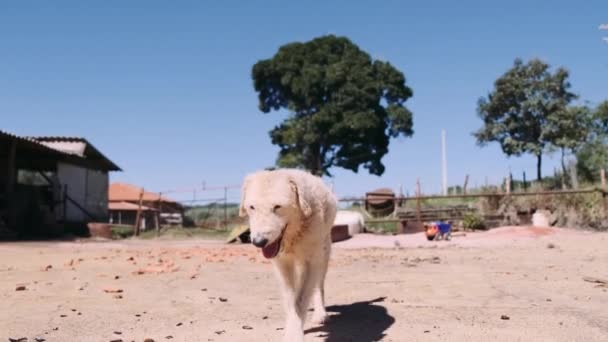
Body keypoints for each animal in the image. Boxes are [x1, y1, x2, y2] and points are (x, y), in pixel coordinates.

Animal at [240, 169, 340, 342]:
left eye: (277, 207)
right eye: (252, 207)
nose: (258, 242)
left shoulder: (311, 261)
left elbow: (300, 299)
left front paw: (294, 334)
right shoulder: (281, 264)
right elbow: (290, 298)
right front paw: (291, 325)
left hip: (324, 253)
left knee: (319, 285)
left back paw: (320, 314)